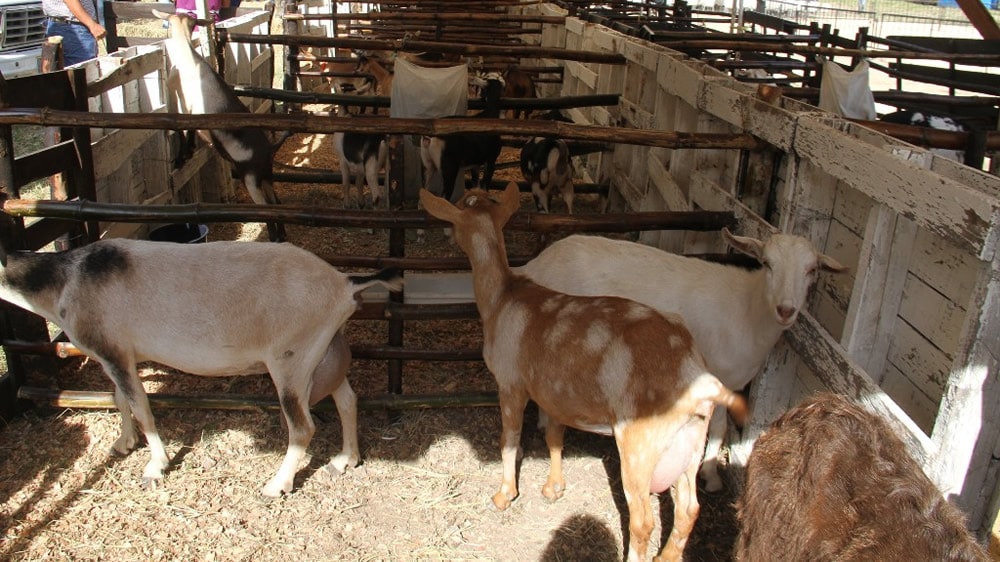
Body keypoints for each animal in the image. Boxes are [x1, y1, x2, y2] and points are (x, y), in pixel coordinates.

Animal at [418, 184, 748, 560]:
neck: (501, 299)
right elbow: (554, 435)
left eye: (456, 211)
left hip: (639, 444)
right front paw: (553, 488)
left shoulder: (511, 381)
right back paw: (667, 555)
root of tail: (700, 382)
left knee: (643, 520)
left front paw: (503, 495)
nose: (446, 234)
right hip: (690, 443)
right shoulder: (551, 390)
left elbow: (509, 439)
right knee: (689, 509)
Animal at [520, 228, 848, 490]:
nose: (786, 309)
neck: (747, 310)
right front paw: (711, 473)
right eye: (767, 263)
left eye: (812, 270)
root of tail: (536, 265)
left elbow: (719, 428)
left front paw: (710, 474)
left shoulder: (729, 381)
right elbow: (716, 427)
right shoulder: (715, 374)